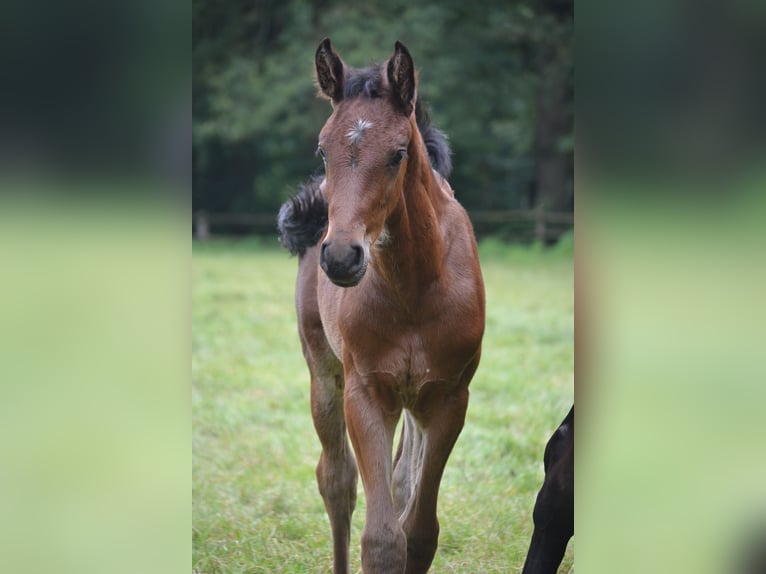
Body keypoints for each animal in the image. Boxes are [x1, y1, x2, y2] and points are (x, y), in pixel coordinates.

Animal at [280, 38, 486, 572]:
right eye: (323, 149)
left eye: (398, 154)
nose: (341, 256)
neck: (415, 287)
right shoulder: (367, 392)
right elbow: (382, 539)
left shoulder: (449, 397)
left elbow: (419, 529)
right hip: (323, 369)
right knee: (336, 480)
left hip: (415, 401)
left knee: (398, 482)